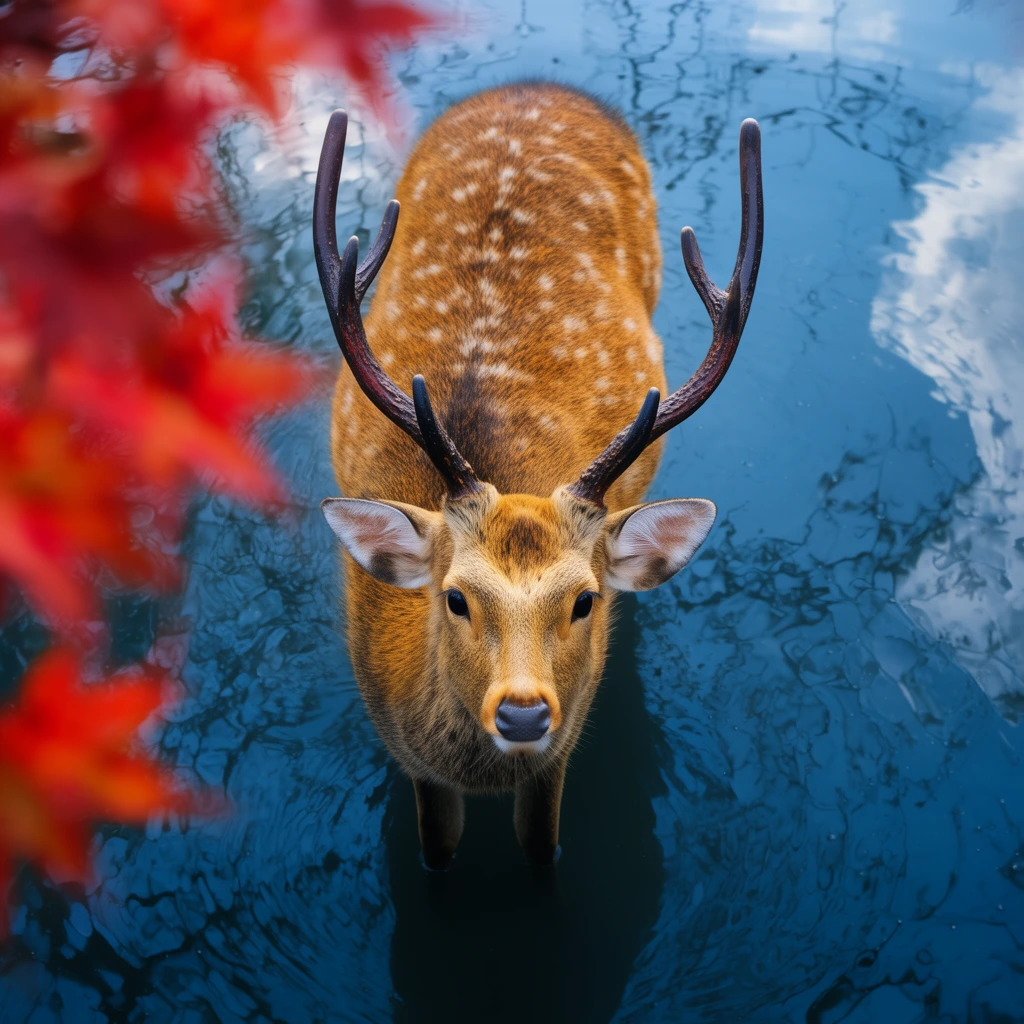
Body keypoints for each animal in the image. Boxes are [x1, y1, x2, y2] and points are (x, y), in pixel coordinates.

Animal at [314, 82, 762, 869]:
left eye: (585, 601)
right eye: (454, 596)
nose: (523, 714)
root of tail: (534, 88)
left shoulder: (563, 747)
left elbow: (542, 851)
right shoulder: (415, 768)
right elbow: (435, 855)